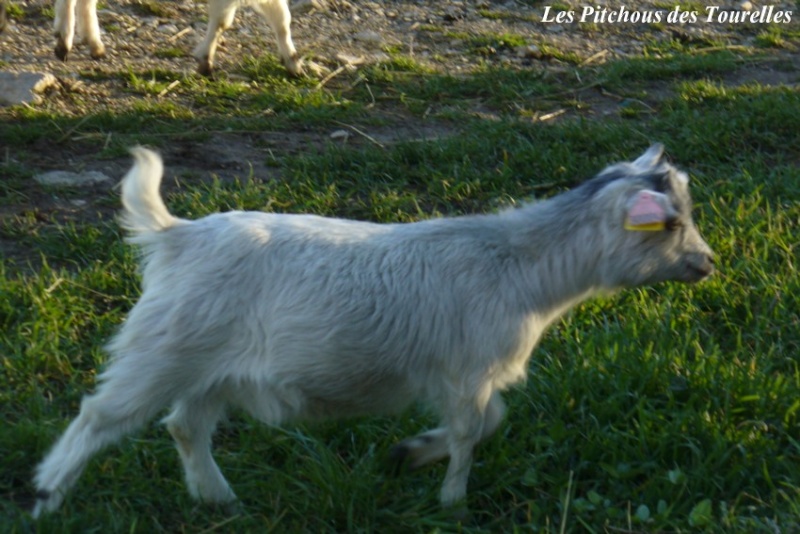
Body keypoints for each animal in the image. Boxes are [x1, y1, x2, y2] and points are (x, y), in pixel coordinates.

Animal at [34, 143, 716, 520]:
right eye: (671, 222)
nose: (709, 263)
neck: (519, 266)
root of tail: (175, 235)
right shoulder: (467, 372)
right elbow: (473, 433)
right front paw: (451, 500)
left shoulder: (467, 378)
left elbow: (489, 423)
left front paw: (409, 452)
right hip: (161, 351)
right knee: (100, 416)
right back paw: (47, 496)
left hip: (210, 368)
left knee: (185, 426)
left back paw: (218, 499)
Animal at [52, 0, 304, 75]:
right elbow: (222, 20)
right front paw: (205, 60)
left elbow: (282, 19)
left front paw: (293, 63)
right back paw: (64, 42)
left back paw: (94, 45)